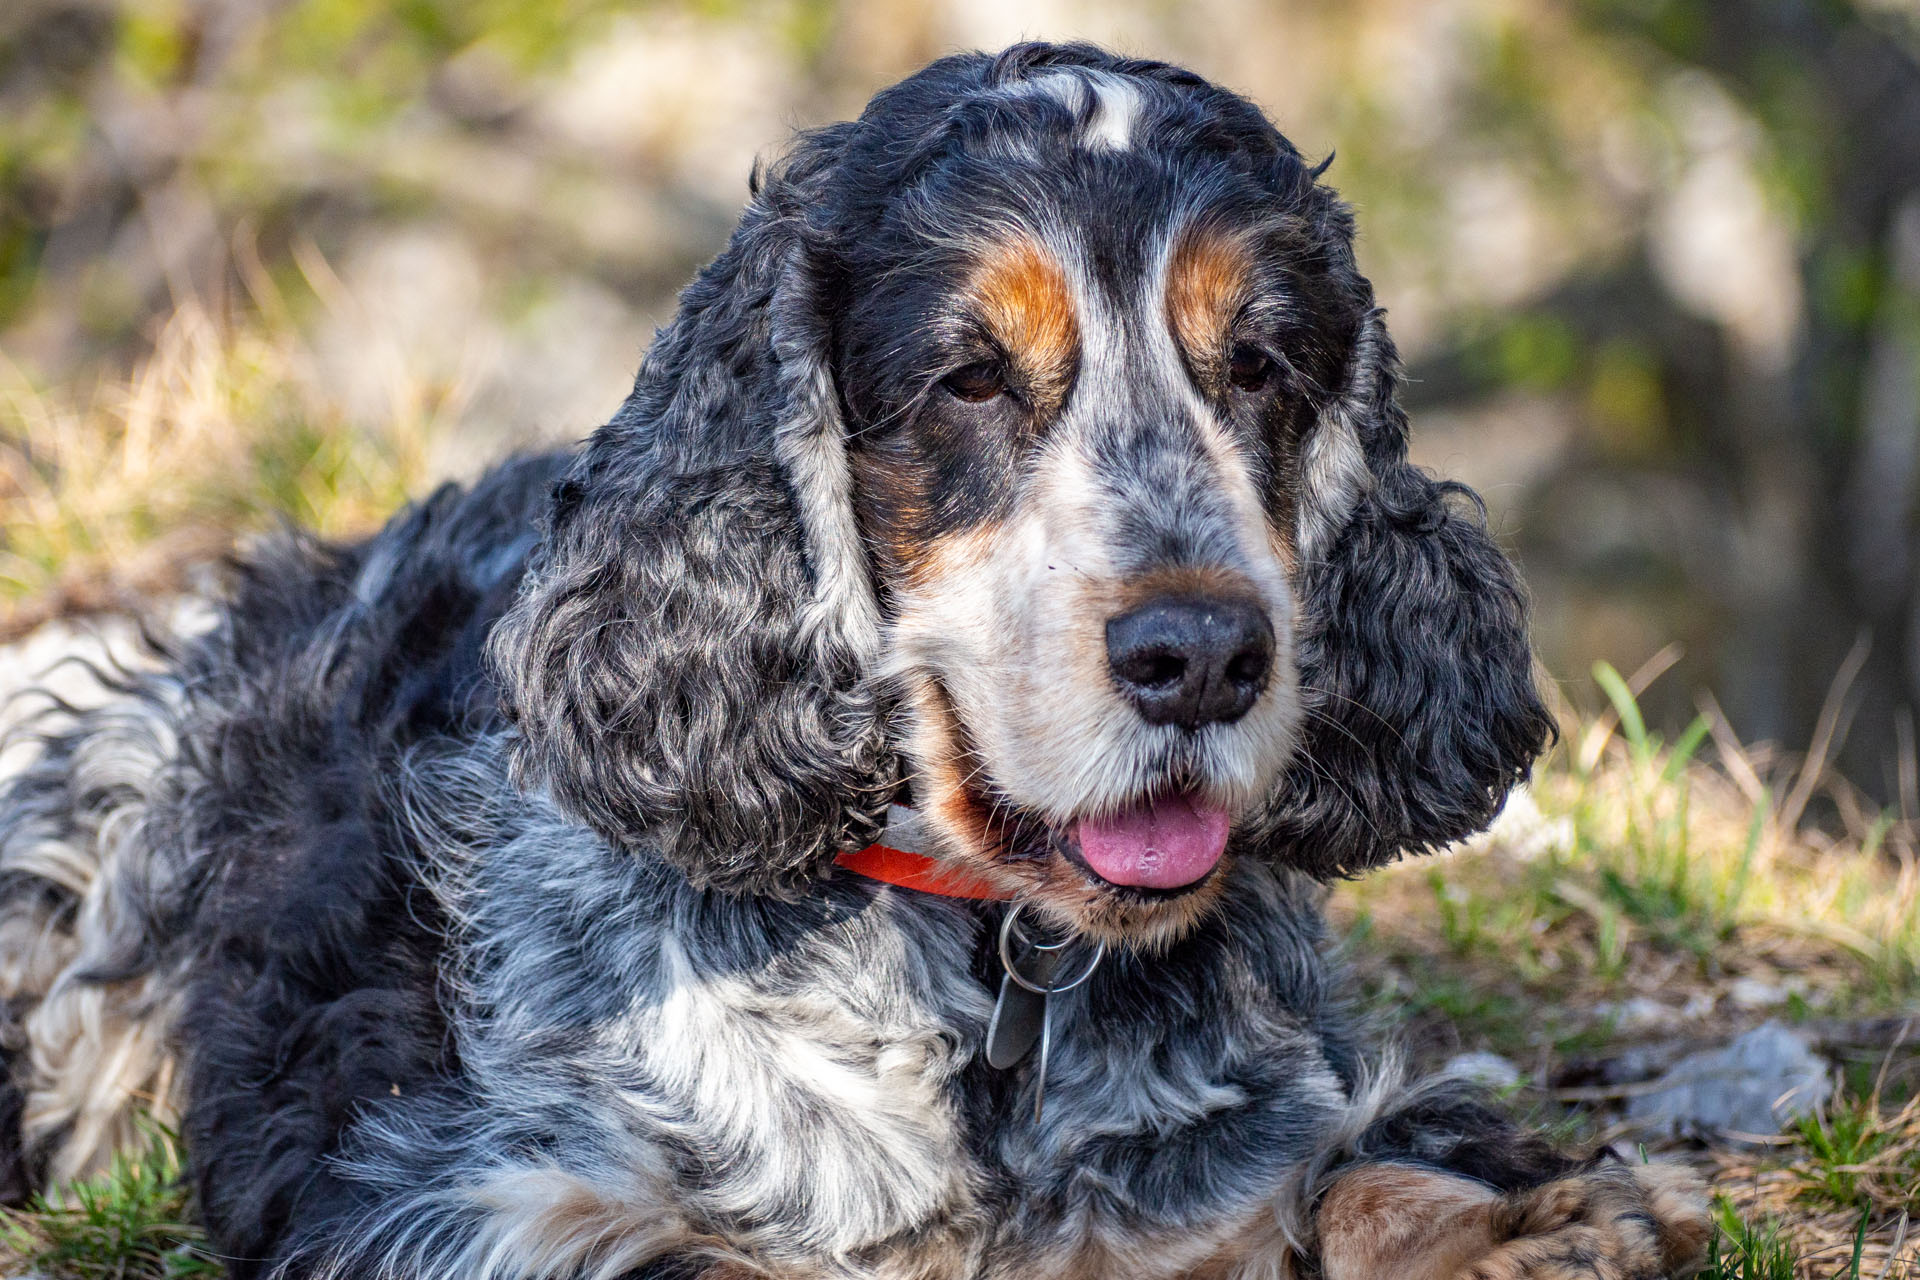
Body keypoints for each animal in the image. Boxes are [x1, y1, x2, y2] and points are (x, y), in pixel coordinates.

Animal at [0, 42, 1712, 1280]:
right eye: (969, 379)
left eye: (1266, 364)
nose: (1206, 655)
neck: (983, 977)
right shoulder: (444, 1192)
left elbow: (1346, 1164)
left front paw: (1527, 1228)